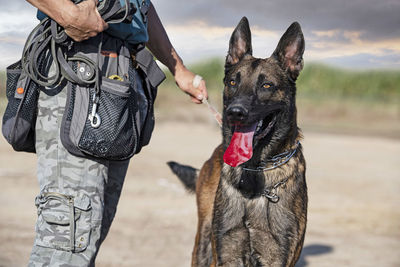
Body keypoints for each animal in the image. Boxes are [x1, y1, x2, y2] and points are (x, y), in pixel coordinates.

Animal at [168, 17, 306, 267]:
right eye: (233, 82)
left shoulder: (277, 257)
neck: (256, 170)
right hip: (203, 243)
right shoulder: (226, 254)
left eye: (266, 85)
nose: (235, 112)